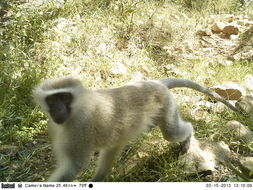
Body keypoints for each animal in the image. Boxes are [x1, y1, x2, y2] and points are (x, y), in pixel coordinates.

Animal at [32, 77, 238, 181]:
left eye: (65, 97)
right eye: (52, 99)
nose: (58, 110)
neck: (78, 107)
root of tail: (154, 83)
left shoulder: (79, 128)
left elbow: (73, 166)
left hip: (167, 104)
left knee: (172, 132)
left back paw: (188, 136)